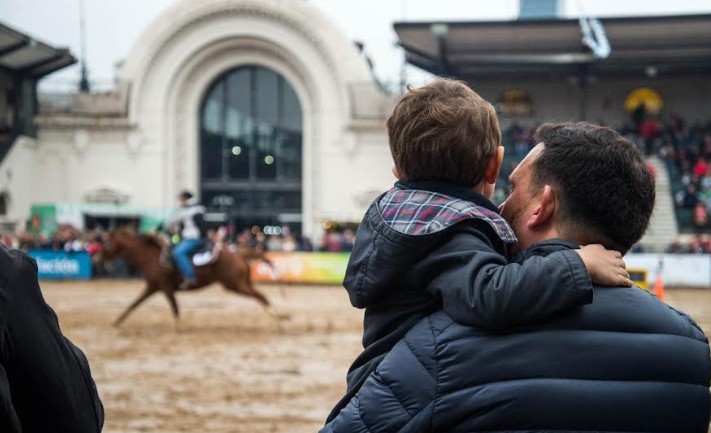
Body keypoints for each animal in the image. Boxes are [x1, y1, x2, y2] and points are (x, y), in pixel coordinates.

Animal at [103, 228, 286, 326]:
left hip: (234, 284)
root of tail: (238, 253)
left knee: (261, 296)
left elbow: (175, 308)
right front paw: (117, 322)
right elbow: (134, 304)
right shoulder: (153, 287)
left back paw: (278, 321)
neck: (151, 257)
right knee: (260, 295)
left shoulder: (165, 287)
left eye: (107, 243)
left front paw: (177, 328)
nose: (98, 258)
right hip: (241, 282)